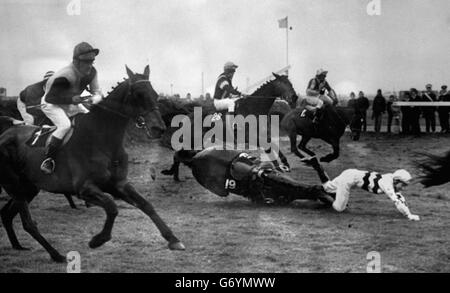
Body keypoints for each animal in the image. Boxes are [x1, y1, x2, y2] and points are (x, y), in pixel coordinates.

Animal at [0, 65, 185, 262]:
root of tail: (5, 134)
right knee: (28, 223)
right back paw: (56, 254)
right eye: (138, 94)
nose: (159, 128)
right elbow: (112, 207)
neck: (102, 139)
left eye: (155, 94)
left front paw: (173, 239)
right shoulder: (85, 189)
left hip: (29, 187)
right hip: (16, 187)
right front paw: (98, 239)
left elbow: (146, 205)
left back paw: (18, 246)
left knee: (6, 213)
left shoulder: (118, 184)